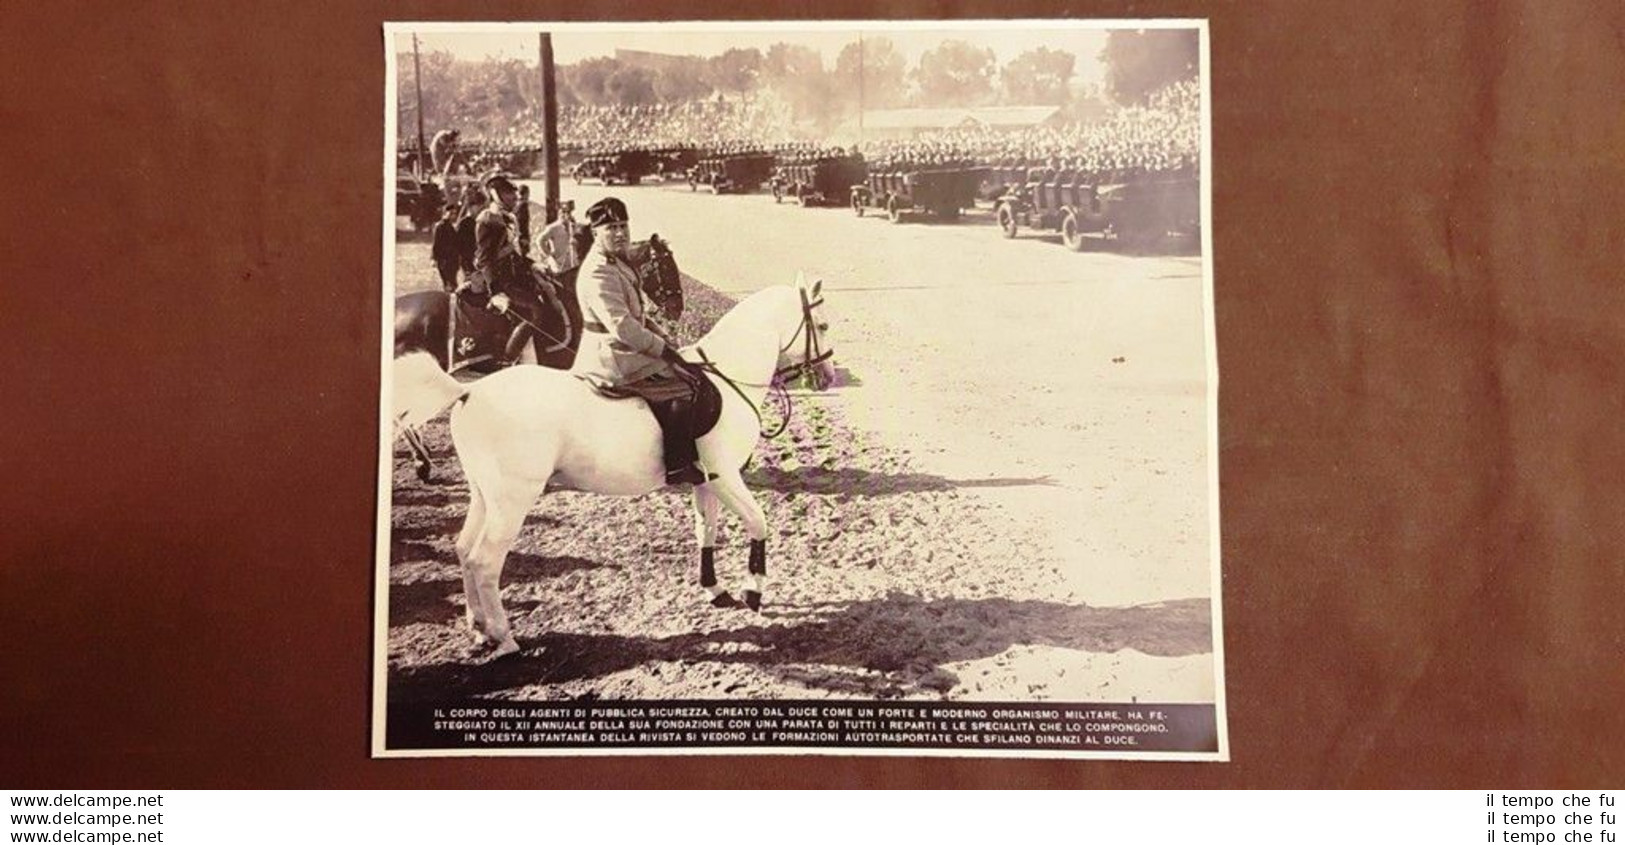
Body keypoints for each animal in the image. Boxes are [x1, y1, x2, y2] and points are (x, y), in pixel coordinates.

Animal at [386, 274, 832, 656]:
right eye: (824, 325)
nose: (826, 375)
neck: (726, 377)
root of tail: (469, 392)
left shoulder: (707, 481)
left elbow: (705, 531)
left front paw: (714, 590)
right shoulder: (726, 477)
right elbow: (759, 523)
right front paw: (753, 591)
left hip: (485, 496)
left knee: (463, 550)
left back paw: (478, 628)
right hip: (512, 501)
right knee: (484, 561)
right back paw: (504, 637)